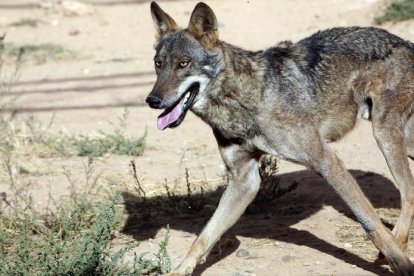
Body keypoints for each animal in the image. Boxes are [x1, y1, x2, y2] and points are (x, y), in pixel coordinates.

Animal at [146, 1, 414, 274]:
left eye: (183, 64)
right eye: (158, 63)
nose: (152, 100)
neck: (244, 99)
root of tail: (405, 42)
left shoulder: (326, 160)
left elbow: (370, 222)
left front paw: (401, 264)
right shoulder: (244, 179)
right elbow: (203, 237)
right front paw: (180, 270)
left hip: (384, 134)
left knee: (408, 193)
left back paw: (396, 245)